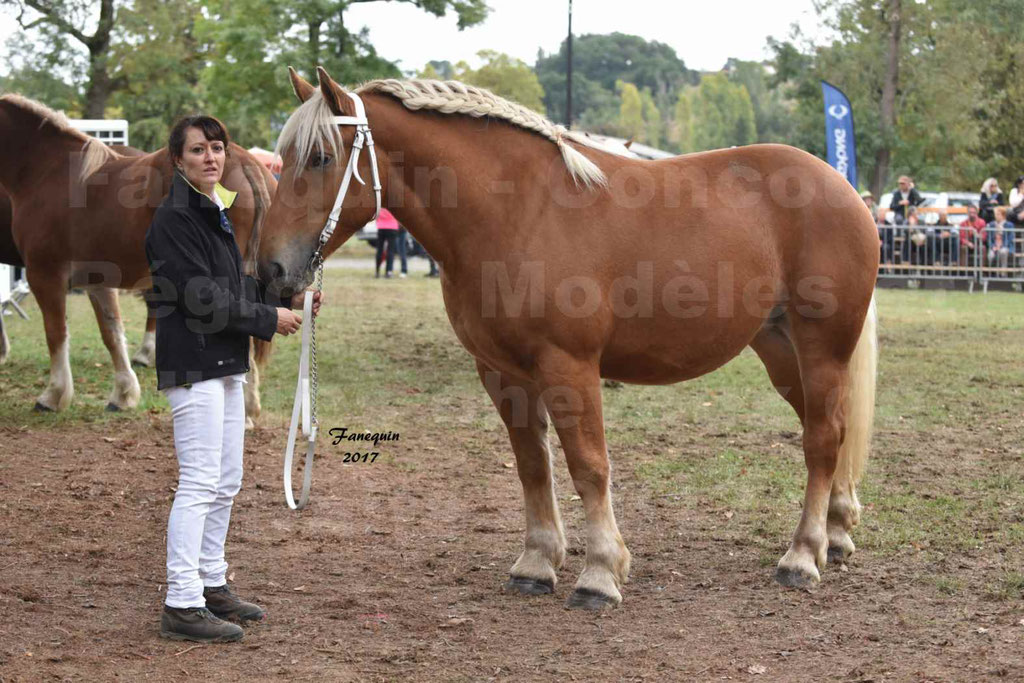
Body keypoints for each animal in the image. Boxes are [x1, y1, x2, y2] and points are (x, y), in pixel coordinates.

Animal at [0, 94, 276, 419]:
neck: (45, 169)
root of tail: (246, 163)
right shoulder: (97, 281)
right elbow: (112, 333)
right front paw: (123, 393)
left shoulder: (45, 275)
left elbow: (56, 334)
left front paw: (53, 396)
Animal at [260, 69, 876, 610]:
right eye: (283, 158)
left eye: (320, 157)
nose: (270, 271)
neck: (517, 212)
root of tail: (844, 187)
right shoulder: (501, 372)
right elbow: (534, 464)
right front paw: (536, 564)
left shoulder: (570, 366)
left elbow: (588, 464)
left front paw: (600, 573)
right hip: (778, 352)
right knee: (831, 430)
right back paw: (836, 534)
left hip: (822, 348)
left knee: (822, 439)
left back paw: (802, 557)